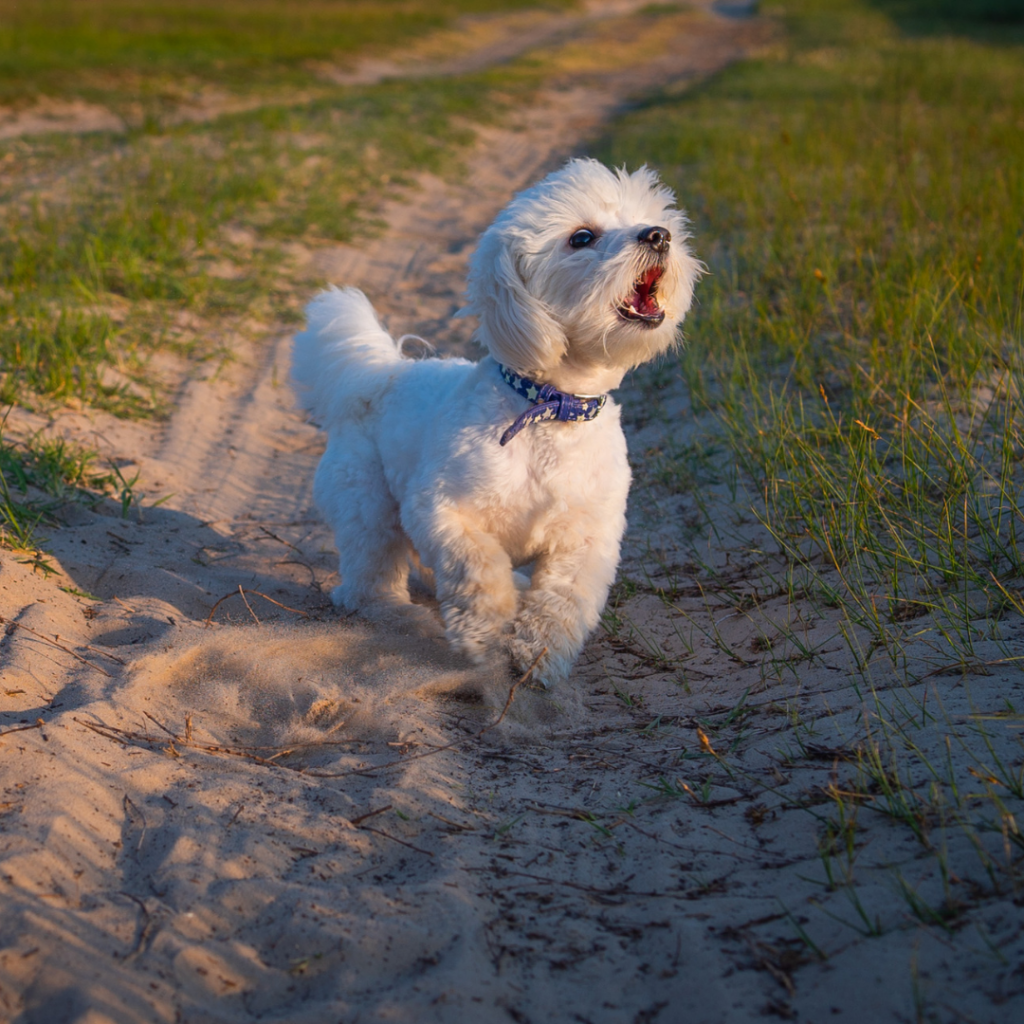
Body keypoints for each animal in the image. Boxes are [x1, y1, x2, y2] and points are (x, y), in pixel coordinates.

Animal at [292, 157, 700, 688]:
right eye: (582, 238)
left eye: (651, 220)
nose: (658, 236)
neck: (551, 407)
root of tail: (381, 372)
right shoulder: (442, 511)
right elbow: (478, 570)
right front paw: (485, 635)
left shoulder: (587, 539)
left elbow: (563, 601)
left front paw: (540, 655)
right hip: (369, 507)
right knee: (367, 581)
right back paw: (398, 615)